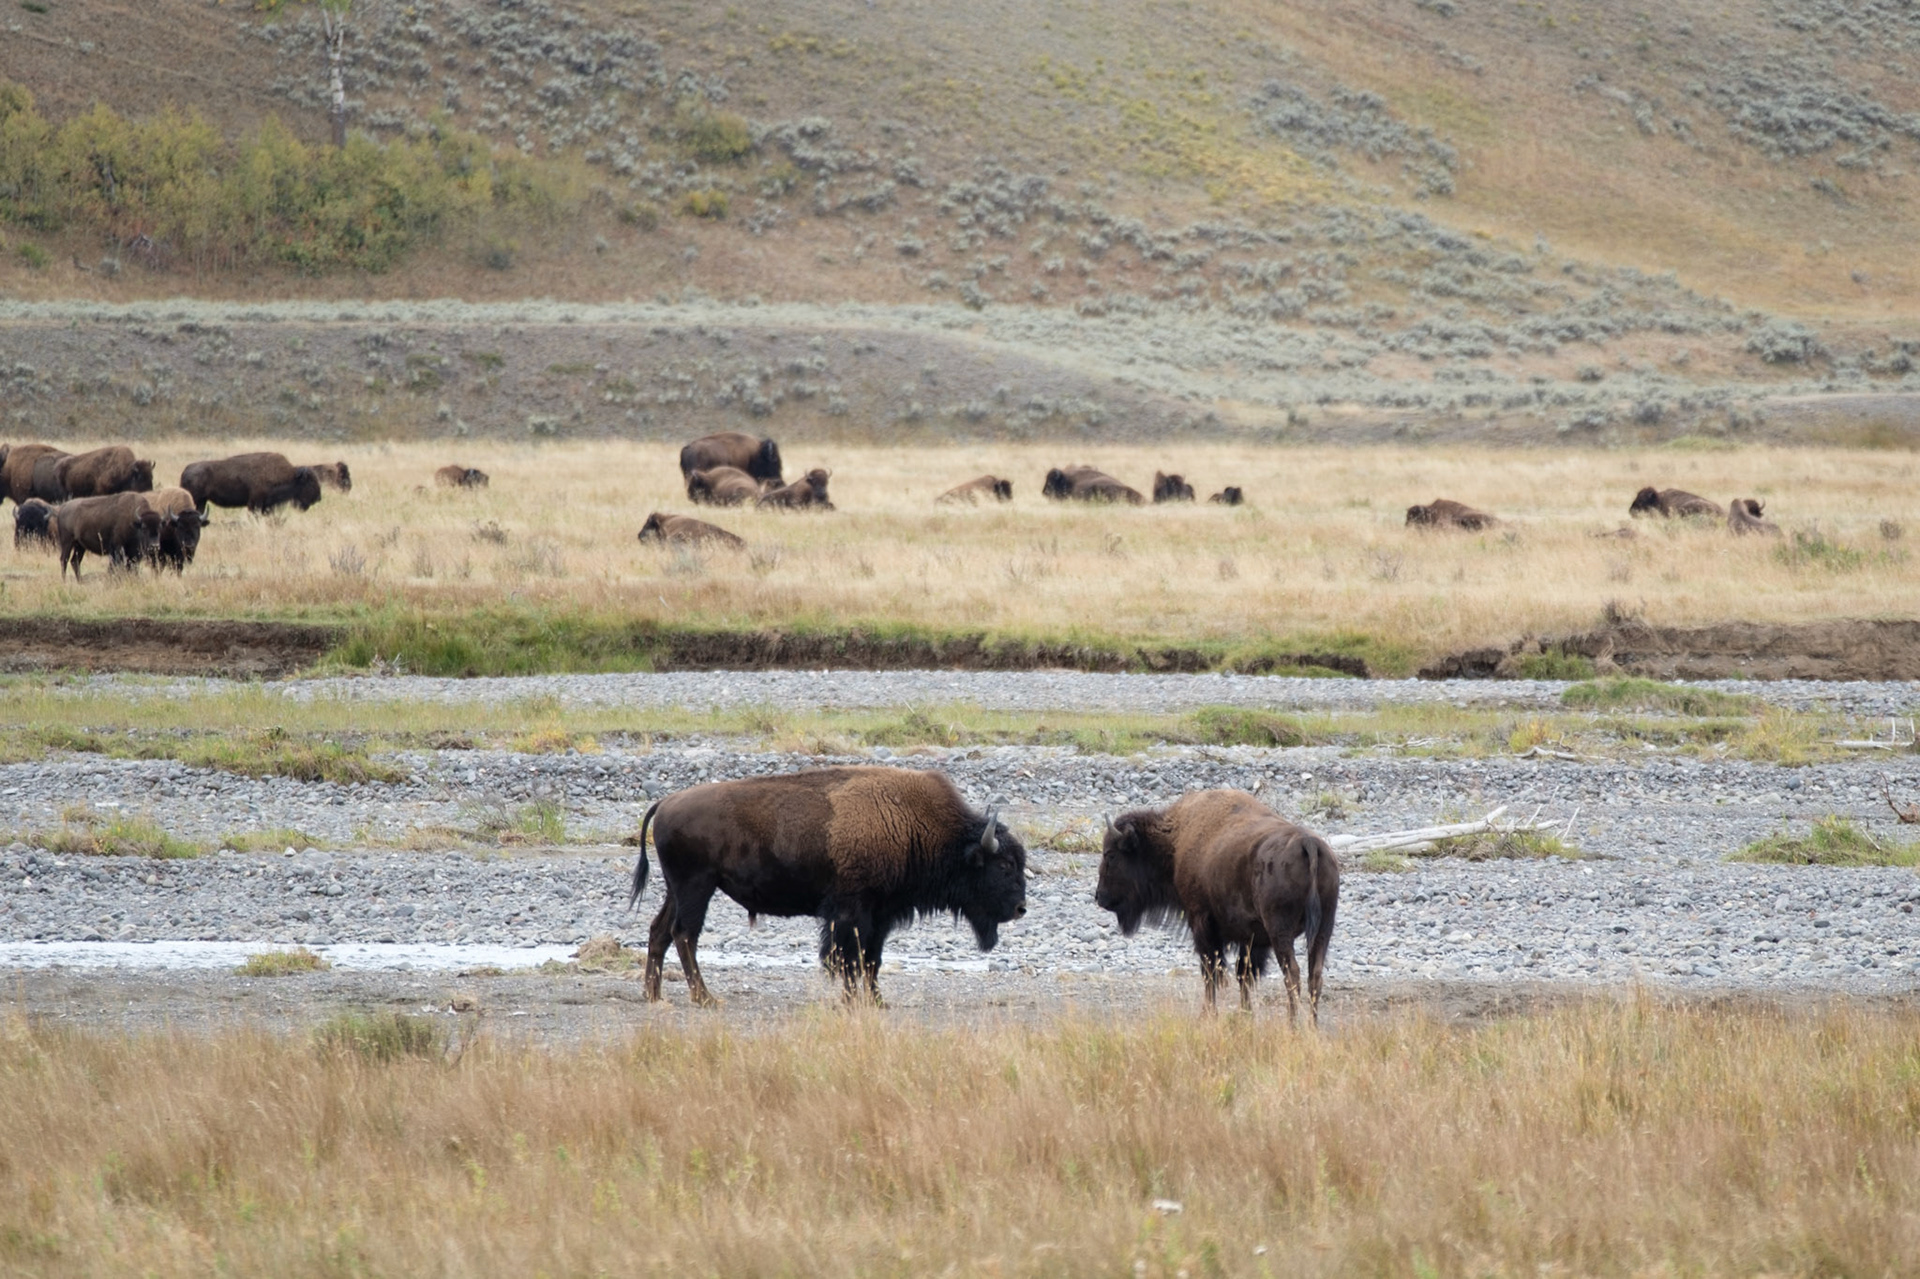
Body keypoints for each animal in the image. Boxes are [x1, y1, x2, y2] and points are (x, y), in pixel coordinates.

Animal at [629, 766, 1027, 1007]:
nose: (1021, 909)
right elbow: (847, 958)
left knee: (659, 932)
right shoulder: (851, 912)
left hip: (676, 890)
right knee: (685, 935)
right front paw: (852, 1002)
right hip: (696, 887)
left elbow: (872, 961)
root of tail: (666, 802)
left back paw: (653, 995)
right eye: (1005, 865)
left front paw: (877, 1003)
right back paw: (704, 998)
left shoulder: (881, 916)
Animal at [1095, 789, 1339, 1024]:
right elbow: (1243, 974)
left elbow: (1211, 971)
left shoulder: (1201, 922)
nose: (1099, 897)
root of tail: (1308, 843)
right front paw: (1245, 1015)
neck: (1175, 838)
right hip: (1323, 928)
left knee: (1293, 973)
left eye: (1110, 855)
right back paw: (1312, 1025)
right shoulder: (1252, 938)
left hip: (1280, 931)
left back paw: (1293, 1025)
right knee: (1315, 975)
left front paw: (1208, 1014)